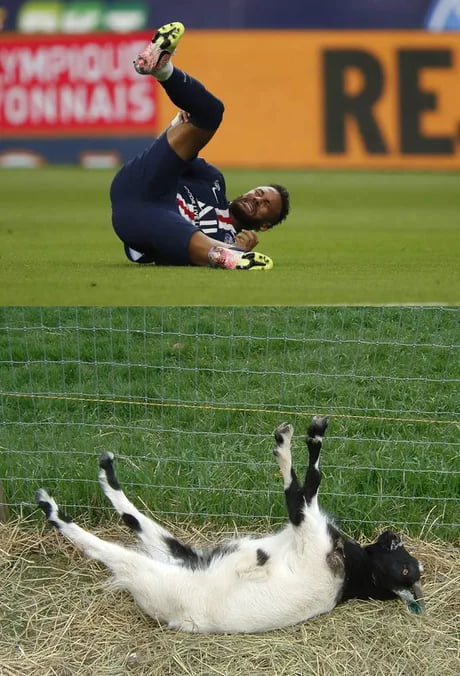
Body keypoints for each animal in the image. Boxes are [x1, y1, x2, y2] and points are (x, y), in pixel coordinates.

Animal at [35, 417, 424, 633]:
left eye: (406, 569)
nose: (392, 534)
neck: (352, 574)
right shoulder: (304, 528)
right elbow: (306, 485)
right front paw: (305, 433)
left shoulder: (307, 528)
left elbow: (306, 484)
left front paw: (296, 438)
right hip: (186, 553)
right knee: (135, 519)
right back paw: (105, 471)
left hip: (156, 572)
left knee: (106, 549)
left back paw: (51, 506)